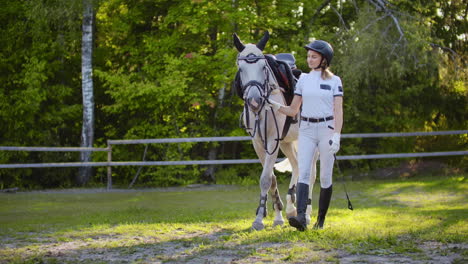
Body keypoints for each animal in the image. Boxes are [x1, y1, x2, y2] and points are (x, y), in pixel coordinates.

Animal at [234, 30, 318, 229]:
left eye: (263, 67)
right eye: (241, 69)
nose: (254, 101)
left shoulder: (272, 141)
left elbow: (265, 178)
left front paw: (258, 220)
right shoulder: (258, 142)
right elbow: (271, 178)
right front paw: (277, 215)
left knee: (311, 174)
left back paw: (307, 214)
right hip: (287, 143)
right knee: (296, 165)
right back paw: (291, 208)